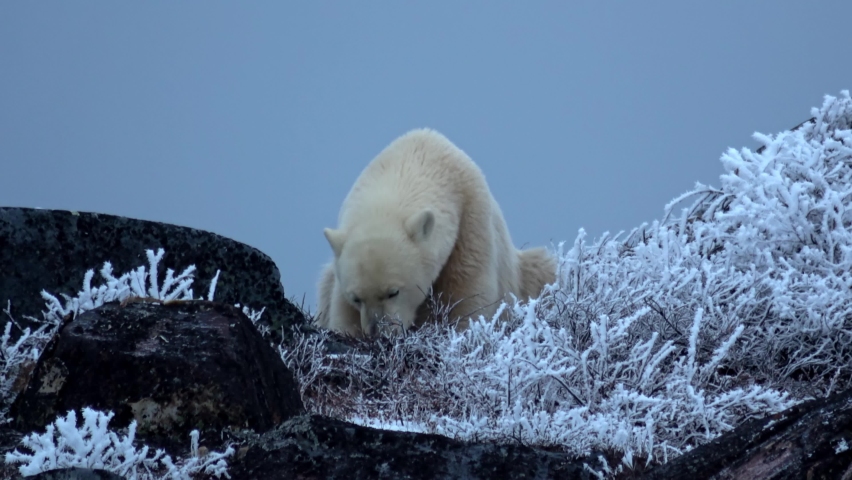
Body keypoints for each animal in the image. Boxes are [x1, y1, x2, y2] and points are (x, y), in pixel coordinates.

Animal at [314, 128, 556, 337]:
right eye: (356, 298)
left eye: (394, 292)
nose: (378, 333)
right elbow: (341, 312)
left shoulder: (470, 227)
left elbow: (467, 298)